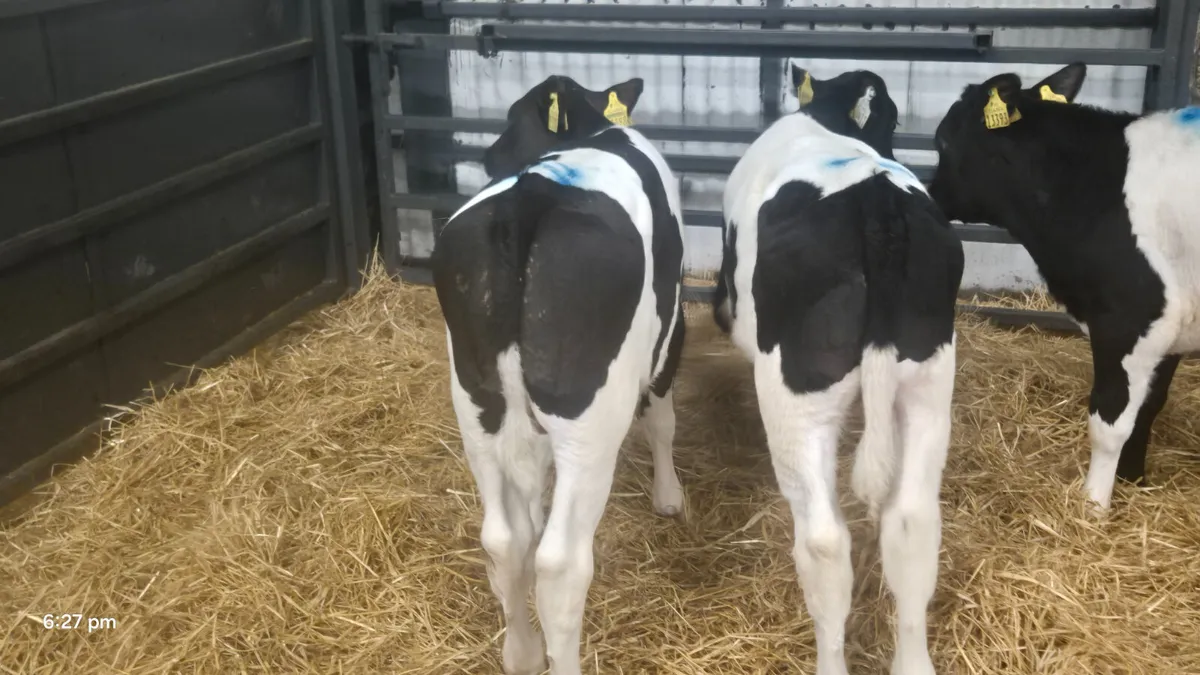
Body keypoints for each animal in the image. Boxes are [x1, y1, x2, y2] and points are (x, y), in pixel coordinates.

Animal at [430, 75, 687, 675]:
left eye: (513, 116)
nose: (489, 156)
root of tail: (527, 202)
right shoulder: (670, 335)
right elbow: (662, 420)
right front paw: (669, 496)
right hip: (589, 420)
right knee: (561, 564)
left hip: (475, 402)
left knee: (505, 540)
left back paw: (520, 653)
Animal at [927, 62, 1200, 513]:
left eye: (942, 141)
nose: (931, 198)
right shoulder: (1173, 324)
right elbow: (1149, 406)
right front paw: (1133, 481)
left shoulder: (1129, 318)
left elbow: (1110, 421)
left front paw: (1093, 507)